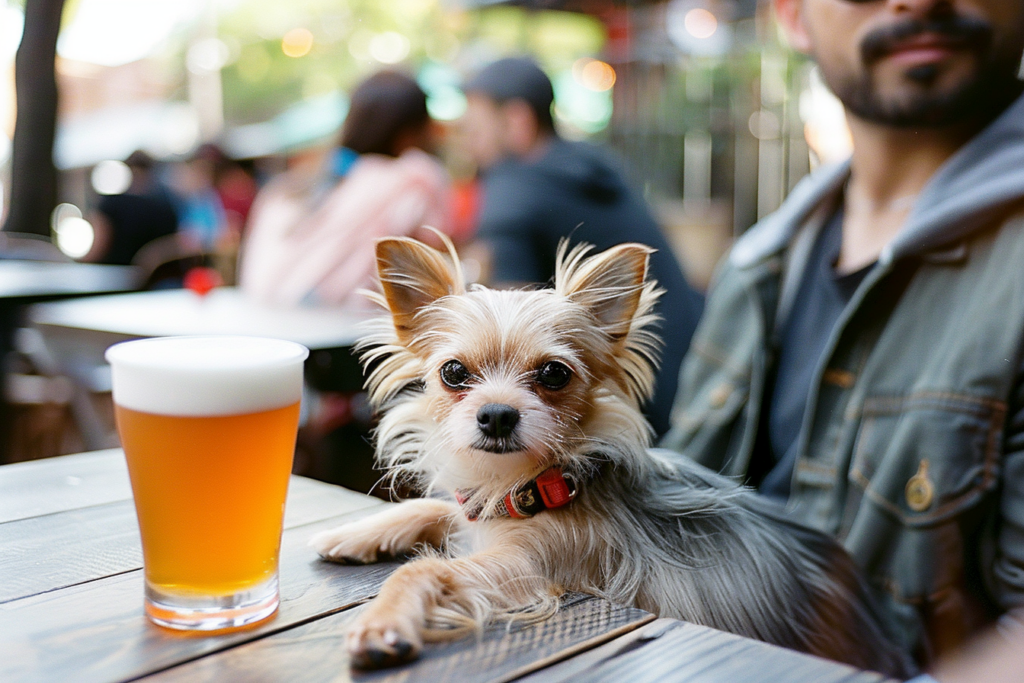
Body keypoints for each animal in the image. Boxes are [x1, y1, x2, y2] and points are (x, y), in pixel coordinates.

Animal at [311, 237, 913, 675]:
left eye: (555, 374)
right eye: (454, 373)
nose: (498, 415)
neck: (530, 487)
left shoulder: (530, 569)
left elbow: (425, 570)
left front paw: (384, 623)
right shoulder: (482, 515)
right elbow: (439, 507)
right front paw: (356, 533)